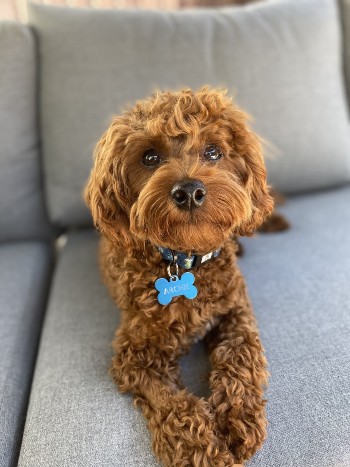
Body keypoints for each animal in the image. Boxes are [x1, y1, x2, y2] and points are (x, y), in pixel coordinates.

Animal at [85, 88, 274, 467]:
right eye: (150, 157)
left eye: (213, 152)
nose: (188, 191)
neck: (185, 261)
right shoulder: (134, 357)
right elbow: (173, 403)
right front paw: (200, 449)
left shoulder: (236, 312)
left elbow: (241, 355)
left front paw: (239, 418)